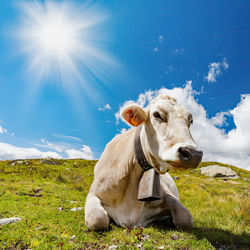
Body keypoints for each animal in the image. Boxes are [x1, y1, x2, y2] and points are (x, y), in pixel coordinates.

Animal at [85, 95, 202, 230]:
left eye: (190, 121)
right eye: (157, 115)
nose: (194, 154)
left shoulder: (167, 195)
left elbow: (186, 219)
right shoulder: (93, 193)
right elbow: (97, 220)